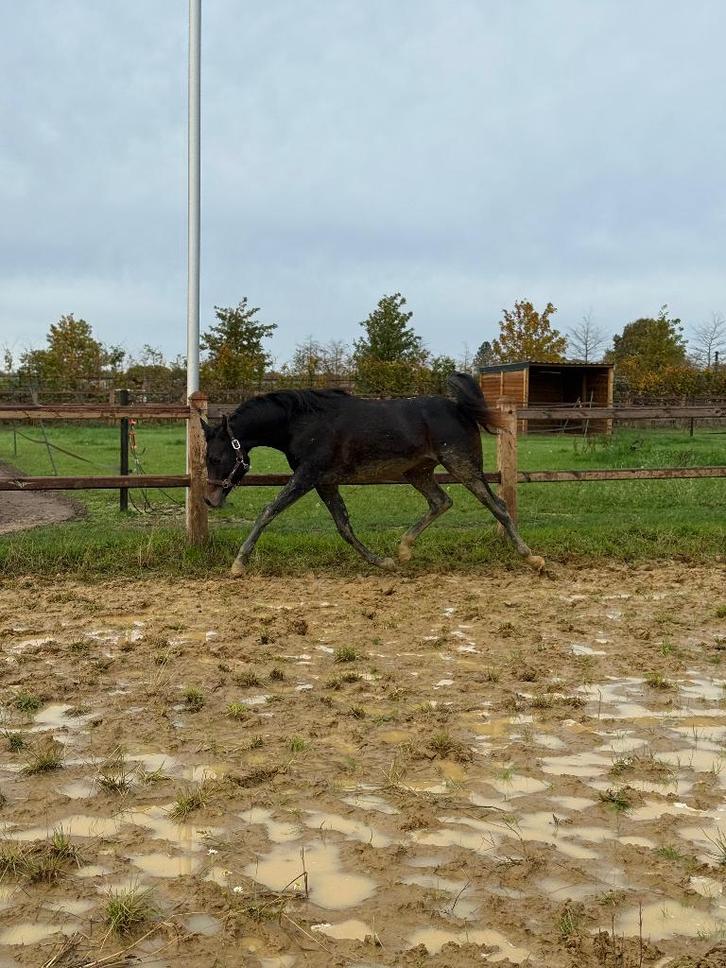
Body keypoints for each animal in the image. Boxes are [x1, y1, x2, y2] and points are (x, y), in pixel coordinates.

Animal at [202, 372, 544, 577]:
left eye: (216, 457)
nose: (210, 500)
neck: (300, 421)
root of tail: (461, 408)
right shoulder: (325, 482)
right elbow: (344, 527)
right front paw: (382, 561)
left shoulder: (308, 475)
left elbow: (268, 511)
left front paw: (238, 564)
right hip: (417, 472)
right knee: (441, 502)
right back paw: (404, 549)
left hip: (462, 465)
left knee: (497, 506)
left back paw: (531, 557)